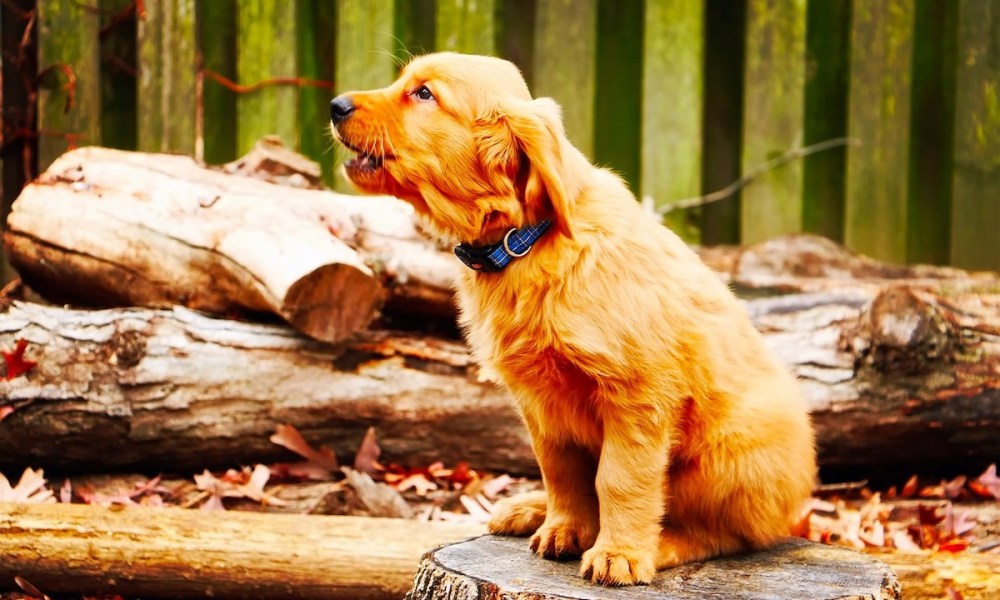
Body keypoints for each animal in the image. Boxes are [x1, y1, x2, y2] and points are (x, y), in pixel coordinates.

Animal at [332, 51, 816, 584]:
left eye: (424, 94)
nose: (335, 105)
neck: (525, 242)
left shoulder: (637, 395)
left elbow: (620, 479)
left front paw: (618, 554)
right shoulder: (541, 404)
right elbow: (561, 472)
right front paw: (564, 527)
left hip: (729, 456)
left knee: (728, 534)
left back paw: (663, 544)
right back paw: (530, 508)